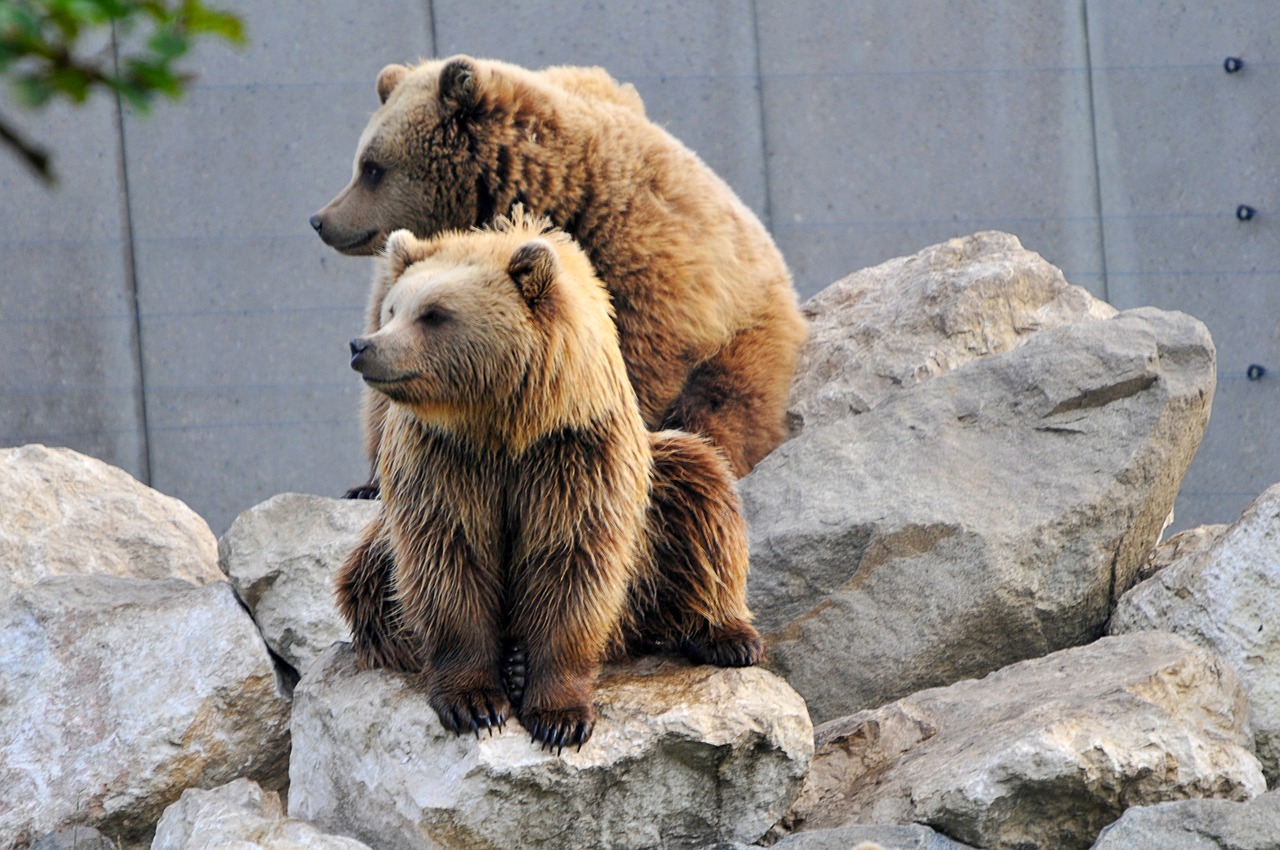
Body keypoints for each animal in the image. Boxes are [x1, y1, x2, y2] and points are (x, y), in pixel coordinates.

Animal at [311, 54, 803, 483]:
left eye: (372, 168)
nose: (321, 219)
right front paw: (373, 481)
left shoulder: (628, 251)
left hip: (741, 331)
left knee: (724, 402)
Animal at [335, 211, 762, 752]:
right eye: (392, 309)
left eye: (433, 314)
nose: (363, 346)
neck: (504, 425)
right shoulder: (444, 460)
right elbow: (448, 556)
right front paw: (475, 702)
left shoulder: (575, 456)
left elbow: (572, 562)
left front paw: (559, 716)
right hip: (380, 541)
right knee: (368, 581)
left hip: (658, 492)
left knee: (701, 488)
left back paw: (729, 637)